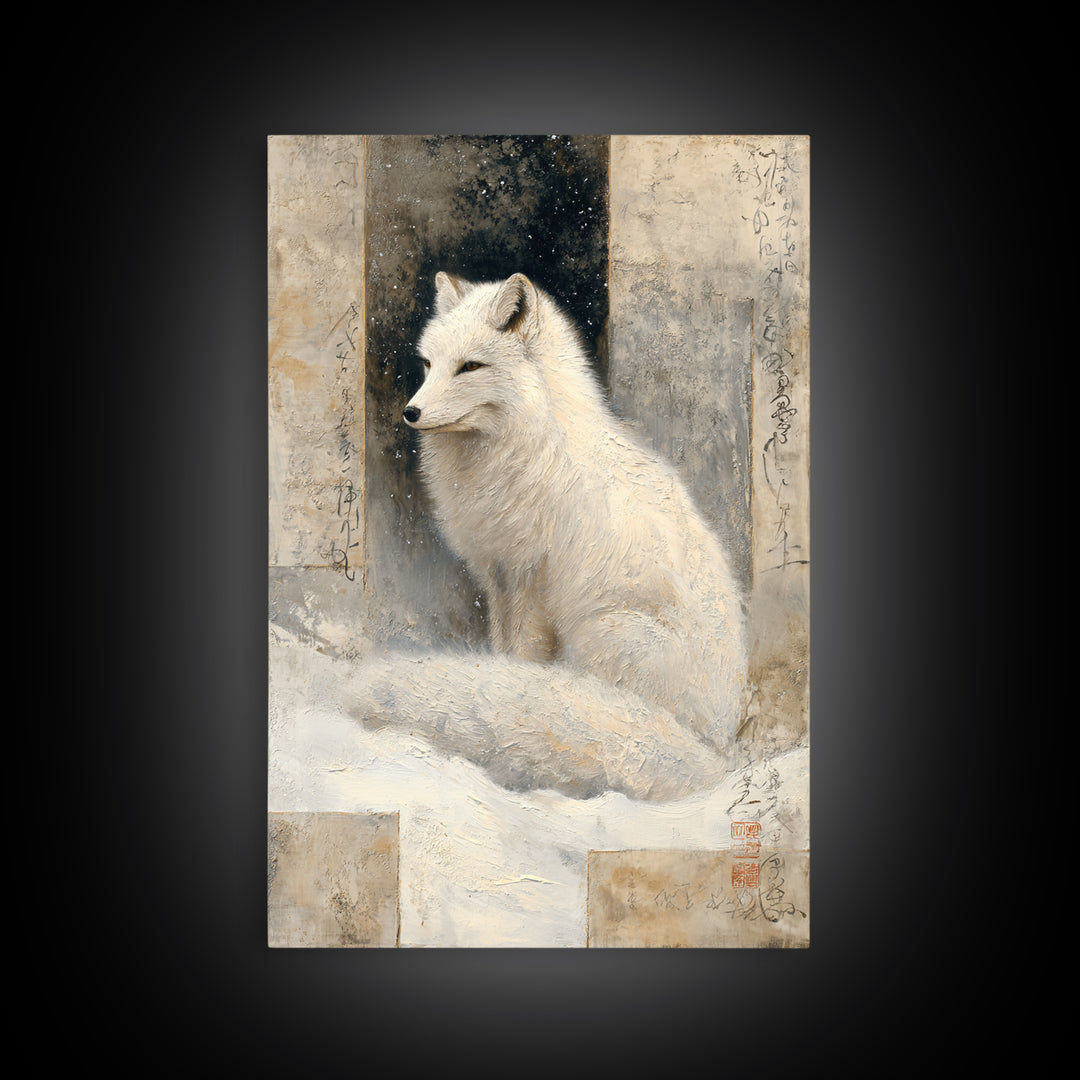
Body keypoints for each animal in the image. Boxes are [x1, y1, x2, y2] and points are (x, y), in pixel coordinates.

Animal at [337, 271, 748, 801]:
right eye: (428, 364)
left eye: (470, 366)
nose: (410, 412)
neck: (524, 447)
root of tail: (719, 753)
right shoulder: (496, 571)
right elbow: (501, 647)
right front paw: (496, 676)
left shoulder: (532, 575)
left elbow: (523, 653)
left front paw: (509, 684)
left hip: (605, 634)